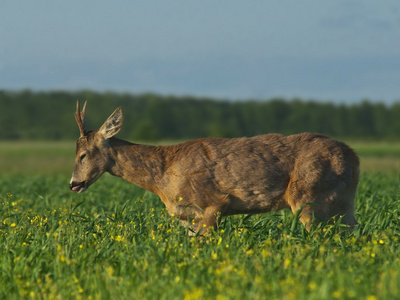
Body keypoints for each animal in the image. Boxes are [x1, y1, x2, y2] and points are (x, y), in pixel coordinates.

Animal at [69, 101, 360, 234]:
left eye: (83, 154)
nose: (73, 184)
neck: (162, 176)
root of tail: (354, 157)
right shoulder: (186, 215)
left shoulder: (212, 203)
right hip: (343, 202)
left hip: (309, 196)